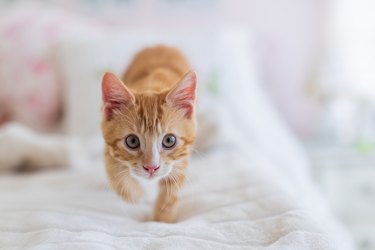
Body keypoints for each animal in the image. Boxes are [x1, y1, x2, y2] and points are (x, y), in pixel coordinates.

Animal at [101, 45, 198, 223]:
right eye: (132, 141)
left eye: (169, 140)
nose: (151, 167)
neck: (151, 86)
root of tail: (161, 45)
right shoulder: (108, 145)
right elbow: (115, 173)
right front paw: (137, 195)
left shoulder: (182, 155)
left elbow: (172, 188)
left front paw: (162, 220)